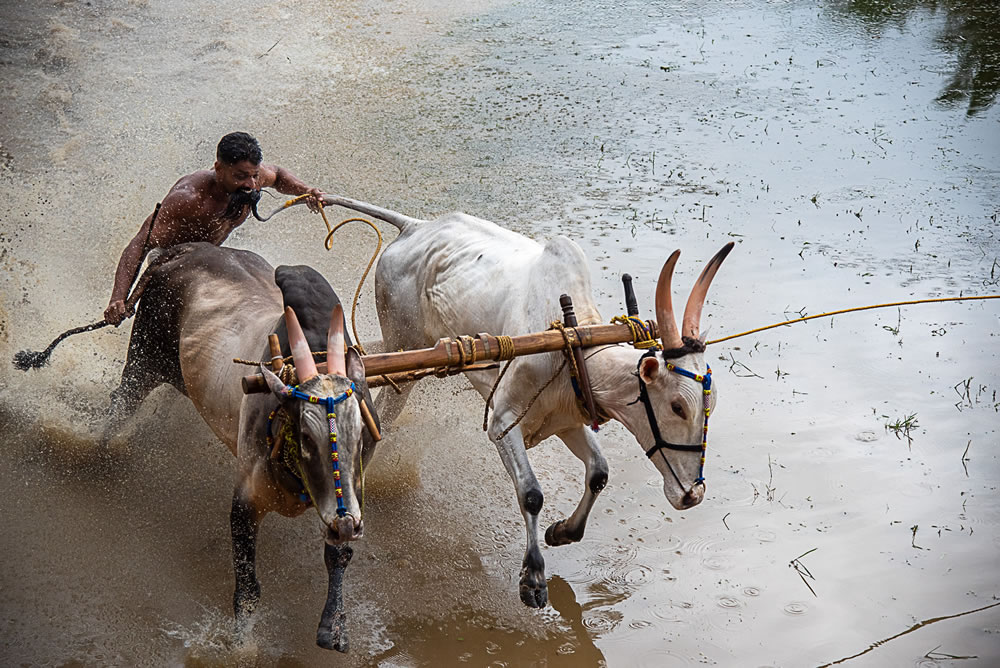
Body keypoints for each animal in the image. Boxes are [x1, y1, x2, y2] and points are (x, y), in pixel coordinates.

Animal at [328, 196, 736, 608]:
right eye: (677, 406)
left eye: (711, 407)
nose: (692, 494)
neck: (572, 341)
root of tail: (415, 227)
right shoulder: (502, 422)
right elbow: (532, 494)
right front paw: (534, 577)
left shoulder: (567, 420)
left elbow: (599, 472)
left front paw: (563, 531)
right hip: (403, 346)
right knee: (377, 414)